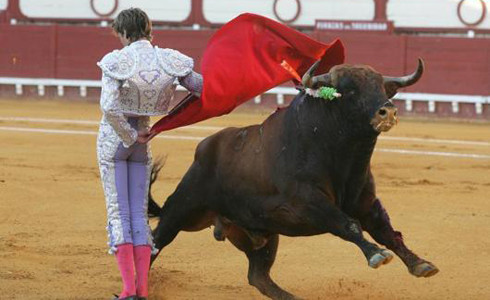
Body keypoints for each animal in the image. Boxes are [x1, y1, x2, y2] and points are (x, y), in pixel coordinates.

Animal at [147, 59, 438, 300]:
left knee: (259, 276)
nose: (387, 112)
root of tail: (204, 150)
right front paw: (376, 254)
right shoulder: (307, 203)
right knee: (154, 244)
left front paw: (420, 263)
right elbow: (349, 224)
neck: (344, 157)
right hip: (181, 210)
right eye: (350, 90)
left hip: (263, 234)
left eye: (382, 88)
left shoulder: (366, 203)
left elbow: (387, 231)